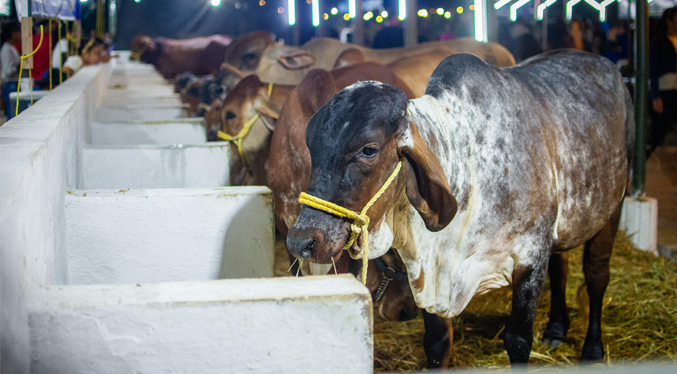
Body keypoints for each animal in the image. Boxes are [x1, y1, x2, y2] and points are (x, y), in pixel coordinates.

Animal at [282, 50, 632, 368]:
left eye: (369, 150)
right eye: (311, 146)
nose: (301, 240)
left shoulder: (530, 257)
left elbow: (518, 340)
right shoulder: (427, 274)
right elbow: (437, 344)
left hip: (612, 209)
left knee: (597, 276)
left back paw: (593, 349)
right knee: (562, 268)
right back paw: (557, 329)